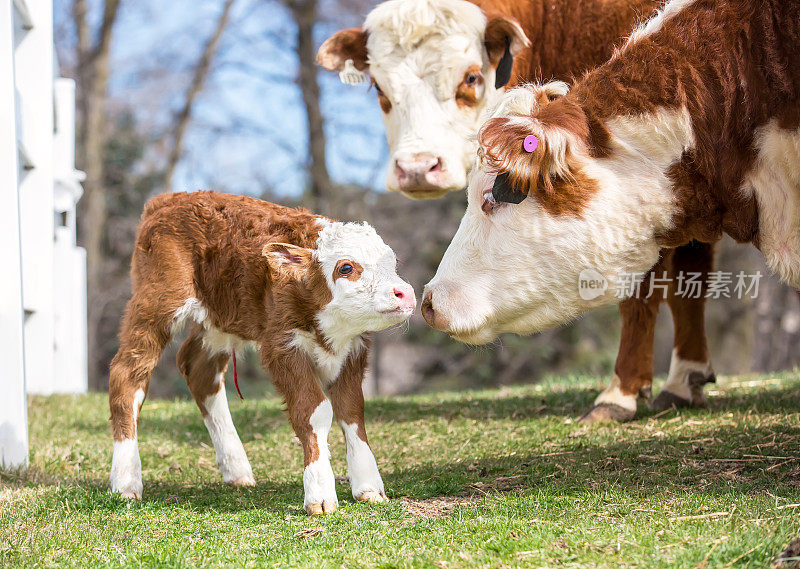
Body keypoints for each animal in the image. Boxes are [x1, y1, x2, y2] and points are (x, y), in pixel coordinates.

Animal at [108, 192, 416, 516]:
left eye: (393, 263)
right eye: (346, 268)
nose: (405, 293)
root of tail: (167, 199)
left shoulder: (354, 349)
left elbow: (352, 410)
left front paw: (369, 486)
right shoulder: (282, 347)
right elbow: (314, 410)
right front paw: (319, 493)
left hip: (221, 317)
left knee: (199, 370)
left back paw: (236, 469)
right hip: (157, 302)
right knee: (127, 373)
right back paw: (126, 481)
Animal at [318, 0, 720, 422]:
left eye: (472, 77)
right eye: (379, 86)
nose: (416, 168)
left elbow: (648, 286)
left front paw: (622, 390)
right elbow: (690, 278)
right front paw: (686, 377)